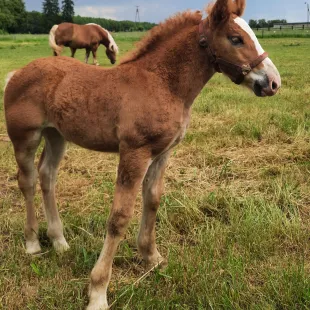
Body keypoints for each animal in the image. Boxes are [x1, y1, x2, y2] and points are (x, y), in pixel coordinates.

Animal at [4, 0, 280, 310]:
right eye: (236, 38)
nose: (273, 82)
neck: (162, 82)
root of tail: (16, 73)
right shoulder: (134, 152)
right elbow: (119, 217)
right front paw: (98, 291)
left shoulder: (162, 153)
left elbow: (153, 200)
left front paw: (152, 258)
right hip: (25, 137)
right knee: (27, 181)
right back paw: (32, 243)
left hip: (56, 136)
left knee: (47, 176)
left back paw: (59, 241)